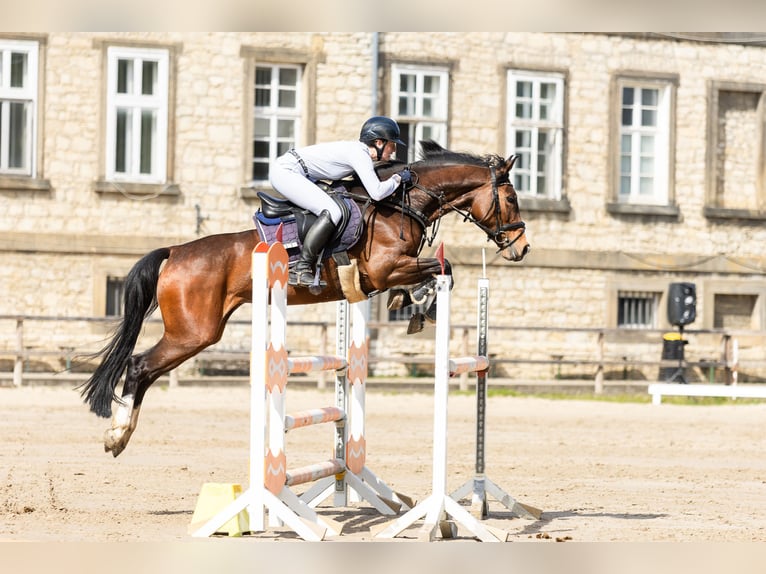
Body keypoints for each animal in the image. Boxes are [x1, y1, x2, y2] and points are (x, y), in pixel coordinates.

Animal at [79, 140, 530, 457]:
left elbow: (437, 271)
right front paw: (418, 304)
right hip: (193, 332)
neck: (400, 205)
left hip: (199, 331)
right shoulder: (384, 270)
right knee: (139, 366)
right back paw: (117, 435)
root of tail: (175, 251)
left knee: (144, 369)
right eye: (510, 199)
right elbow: (443, 266)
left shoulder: (384, 275)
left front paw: (413, 304)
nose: (522, 248)